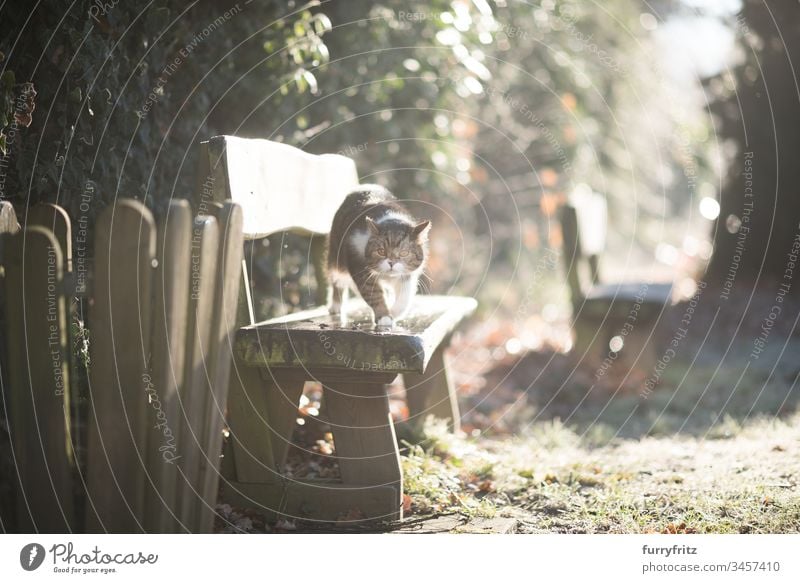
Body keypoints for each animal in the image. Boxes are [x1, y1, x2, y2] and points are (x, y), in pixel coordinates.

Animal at [328, 185, 432, 330]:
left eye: (404, 253)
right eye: (381, 251)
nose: (391, 263)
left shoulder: (406, 275)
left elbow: (404, 297)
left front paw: (393, 312)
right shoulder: (358, 264)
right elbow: (374, 294)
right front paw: (384, 316)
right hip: (336, 255)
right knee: (337, 280)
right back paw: (335, 306)